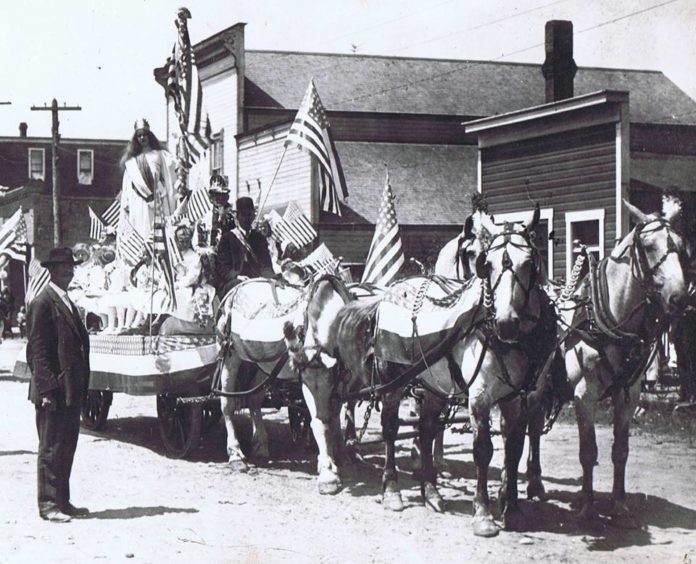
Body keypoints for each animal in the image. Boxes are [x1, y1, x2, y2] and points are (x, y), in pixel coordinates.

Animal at [556, 202, 688, 528]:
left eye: (681, 247)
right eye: (649, 246)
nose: (679, 298)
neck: (609, 318)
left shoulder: (628, 395)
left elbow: (621, 451)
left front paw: (618, 504)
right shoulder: (584, 395)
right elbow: (588, 452)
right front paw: (588, 507)